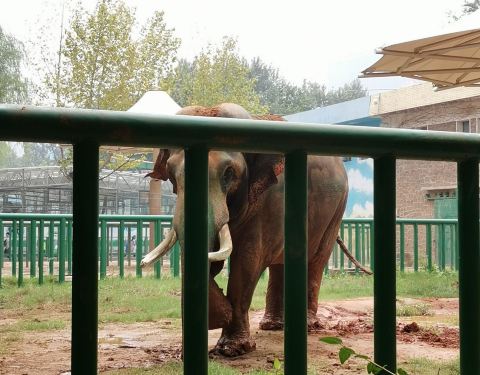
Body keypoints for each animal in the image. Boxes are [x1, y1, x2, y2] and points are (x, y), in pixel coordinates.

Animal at [141, 103, 346, 358]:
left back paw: (307, 326)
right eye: (171, 175)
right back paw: (273, 326)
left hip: (337, 209)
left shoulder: (270, 199)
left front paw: (232, 349)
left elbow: (248, 260)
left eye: (229, 173)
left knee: (317, 260)